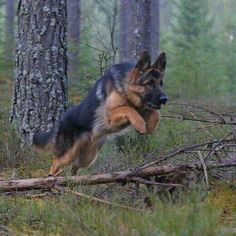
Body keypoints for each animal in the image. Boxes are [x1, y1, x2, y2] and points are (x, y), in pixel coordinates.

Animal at [33, 52, 168, 177]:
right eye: (149, 83)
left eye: (161, 83)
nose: (165, 99)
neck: (125, 87)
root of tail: (59, 122)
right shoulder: (109, 114)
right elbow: (128, 109)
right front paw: (140, 125)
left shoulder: (143, 108)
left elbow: (156, 114)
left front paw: (149, 127)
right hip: (67, 155)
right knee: (55, 162)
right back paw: (52, 178)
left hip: (87, 158)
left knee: (74, 167)